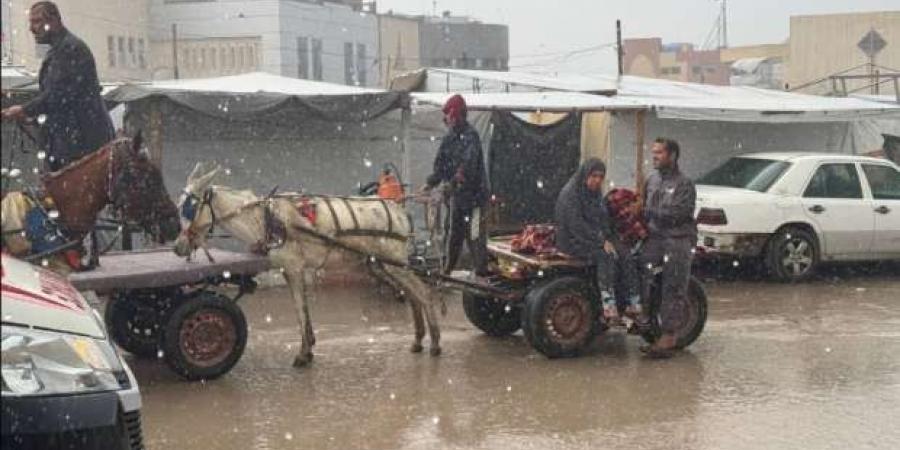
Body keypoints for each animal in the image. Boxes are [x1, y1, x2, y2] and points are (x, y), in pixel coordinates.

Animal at [173, 163, 442, 368]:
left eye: (190, 207)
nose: (177, 247)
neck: (264, 220)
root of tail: (399, 211)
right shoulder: (290, 269)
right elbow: (300, 310)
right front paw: (309, 348)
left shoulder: (293, 267)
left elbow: (300, 310)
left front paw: (303, 354)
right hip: (381, 265)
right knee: (412, 295)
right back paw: (418, 340)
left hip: (395, 262)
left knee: (424, 293)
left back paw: (435, 343)